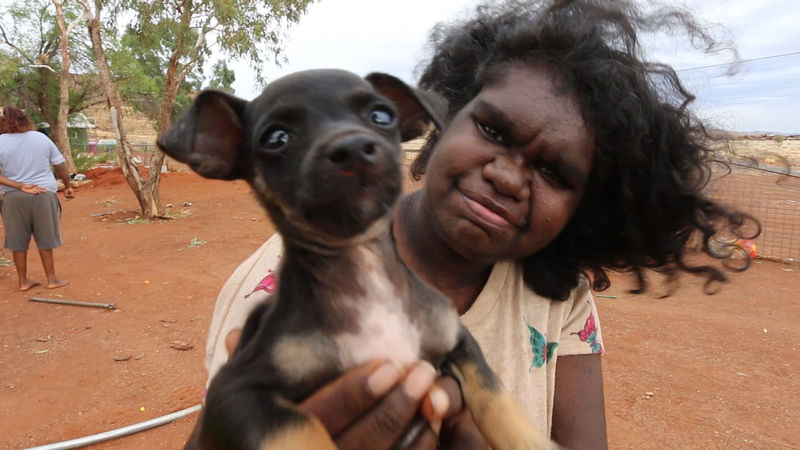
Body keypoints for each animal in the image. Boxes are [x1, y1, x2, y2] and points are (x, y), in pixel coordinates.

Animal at [157, 69, 559, 450]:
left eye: (381, 115)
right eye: (275, 138)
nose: (352, 148)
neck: (364, 269)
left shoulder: (457, 339)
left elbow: (495, 397)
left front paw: (535, 442)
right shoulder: (237, 392)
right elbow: (302, 431)